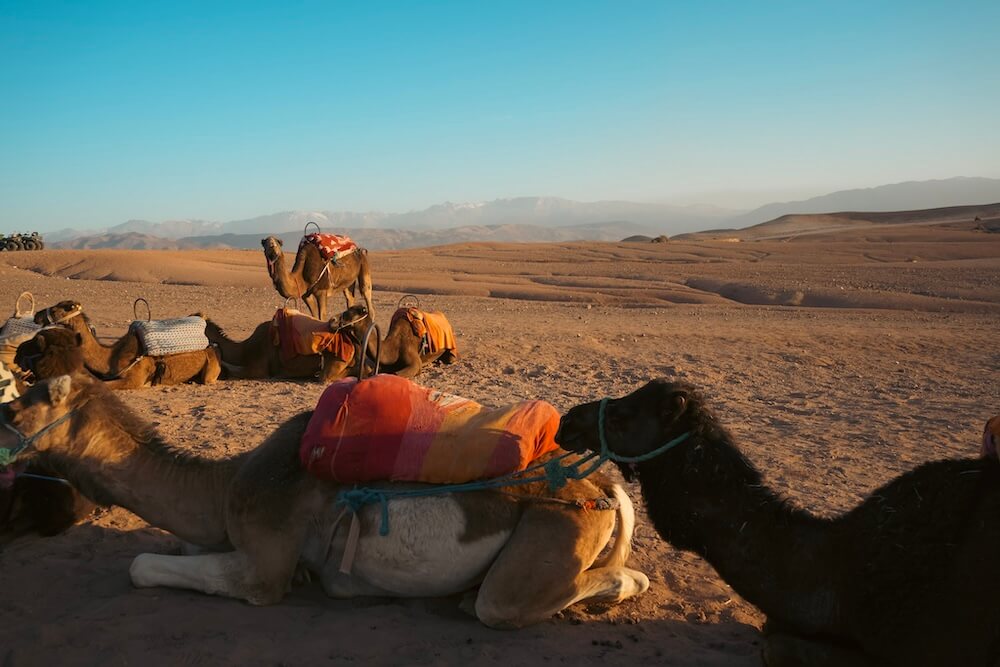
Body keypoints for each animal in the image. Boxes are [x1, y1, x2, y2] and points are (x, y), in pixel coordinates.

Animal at [0, 374, 649, 627]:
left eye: (19, 403)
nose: (0, 425)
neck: (225, 484)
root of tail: (607, 487)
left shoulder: (263, 566)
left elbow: (139, 565)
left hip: (555, 528)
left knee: (516, 600)